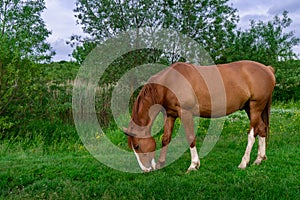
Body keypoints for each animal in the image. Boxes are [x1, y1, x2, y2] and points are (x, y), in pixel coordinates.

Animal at [123, 60, 276, 173]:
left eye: (137, 146)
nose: (146, 170)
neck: (169, 82)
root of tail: (268, 69)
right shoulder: (171, 114)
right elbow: (166, 138)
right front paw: (161, 163)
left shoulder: (185, 113)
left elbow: (190, 137)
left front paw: (193, 165)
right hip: (249, 108)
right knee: (262, 129)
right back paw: (259, 159)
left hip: (255, 106)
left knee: (252, 134)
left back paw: (244, 163)